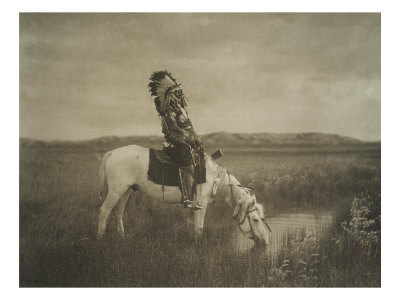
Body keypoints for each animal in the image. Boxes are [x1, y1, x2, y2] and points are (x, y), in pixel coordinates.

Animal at [97, 145, 268, 246]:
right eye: (255, 219)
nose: (265, 241)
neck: (215, 177)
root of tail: (111, 153)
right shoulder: (201, 204)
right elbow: (199, 227)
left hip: (126, 191)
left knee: (118, 212)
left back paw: (122, 237)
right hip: (116, 190)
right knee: (104, 211)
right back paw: (101, 238)